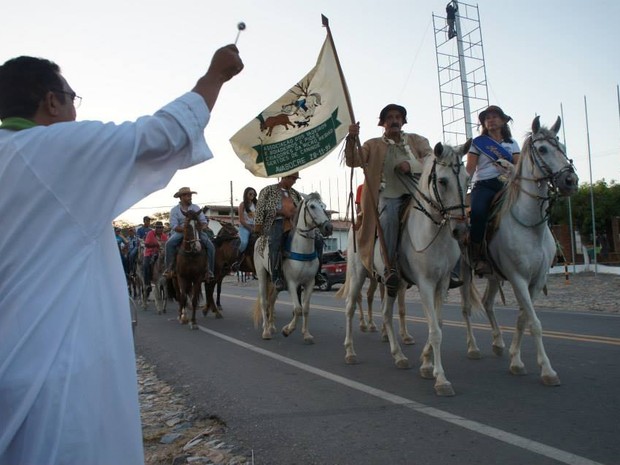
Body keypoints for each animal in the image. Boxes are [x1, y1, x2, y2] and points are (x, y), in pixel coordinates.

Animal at [252, 191, 332, 340]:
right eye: (312, 206)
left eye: (323, 206)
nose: (329, 227)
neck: (302, 249)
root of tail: (260, 239)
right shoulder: (292, 283)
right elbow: (297, 309)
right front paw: (287, 330)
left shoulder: (309, 283)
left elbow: (305, 309)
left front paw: (306, 334)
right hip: (262, 276)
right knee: (264, 302)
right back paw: (266, 331)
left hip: (276, 283)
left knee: (272, 301)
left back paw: (271, 327)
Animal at [344, 140, 470, 396]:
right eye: (443, 181)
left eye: (467, 179)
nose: (461, 230)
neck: (433, 232)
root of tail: (357, 221)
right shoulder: (425, 284)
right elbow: (435, 331)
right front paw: (441, 379)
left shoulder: (442, 284)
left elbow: (438, 324)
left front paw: (426, 363)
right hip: (358, 274)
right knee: (350, 308)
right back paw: (350, 352)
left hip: (394, 283)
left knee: (386, 314)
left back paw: (399, 356)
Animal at [460, 116, 576, 384]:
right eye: (542, 149)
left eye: (562, 147)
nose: (570, 181)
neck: (531, 226)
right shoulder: (518, 278)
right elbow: (534, 322)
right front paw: (547, 370)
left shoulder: (537, 280)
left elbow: (524, 319)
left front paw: (515, 359)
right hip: (464, 274)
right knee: (467, 308)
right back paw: (472, 348)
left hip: (493, 276)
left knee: (488, 303)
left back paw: (498, 343)